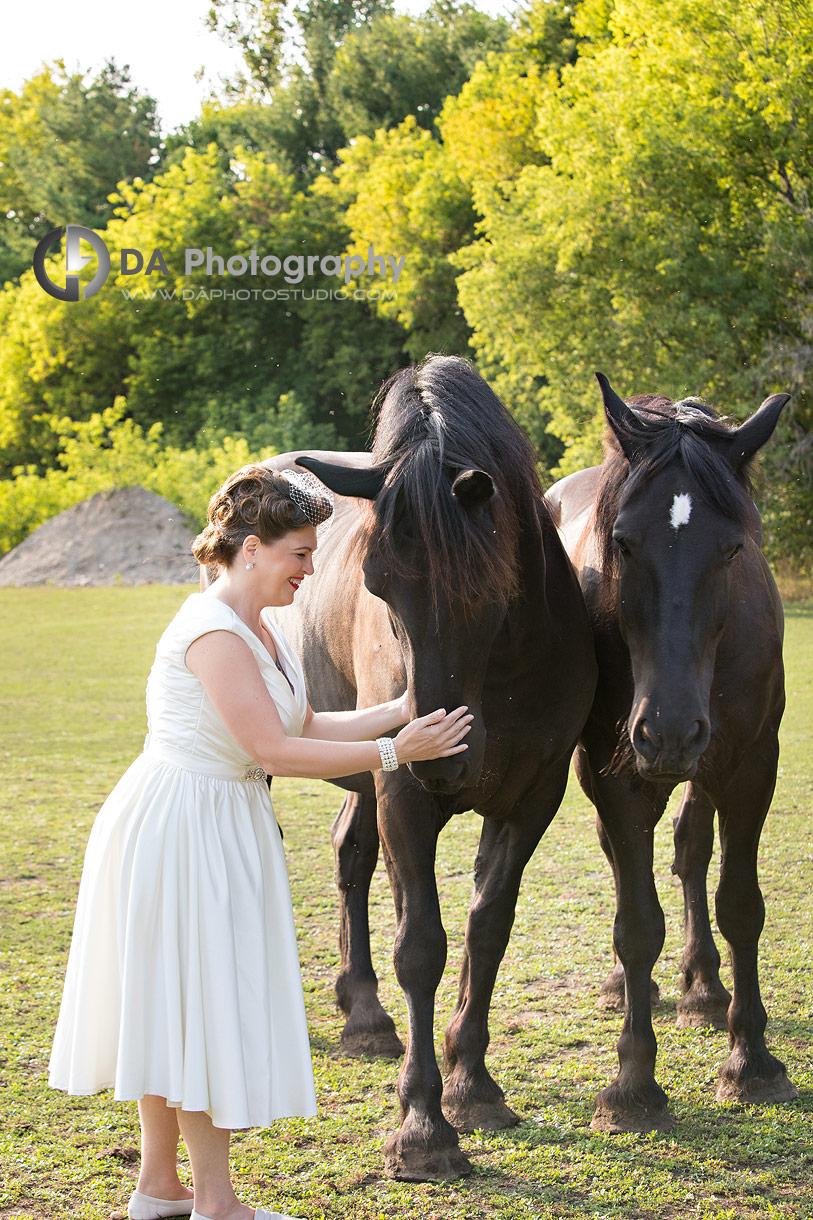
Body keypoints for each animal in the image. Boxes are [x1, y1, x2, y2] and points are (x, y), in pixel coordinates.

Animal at [266, 356, 595, 1180]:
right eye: (378, 583)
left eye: (489, 587)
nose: (443, 756)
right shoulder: (405, 798)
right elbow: (421, 948)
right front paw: (421, 1126)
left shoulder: (531, 798)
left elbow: (487, 931)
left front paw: (471, 1085)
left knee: (350, 855)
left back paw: (363, 1012)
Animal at [544, 373, 795, 1132]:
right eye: (622, 543)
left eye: (733, 549)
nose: (672, 730)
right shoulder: (616, 773)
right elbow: (636, 924)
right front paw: (631, 1084)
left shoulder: (749, 767)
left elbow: (738, 903)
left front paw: (751, 1062)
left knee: (690, 850)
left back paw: (704, 987)